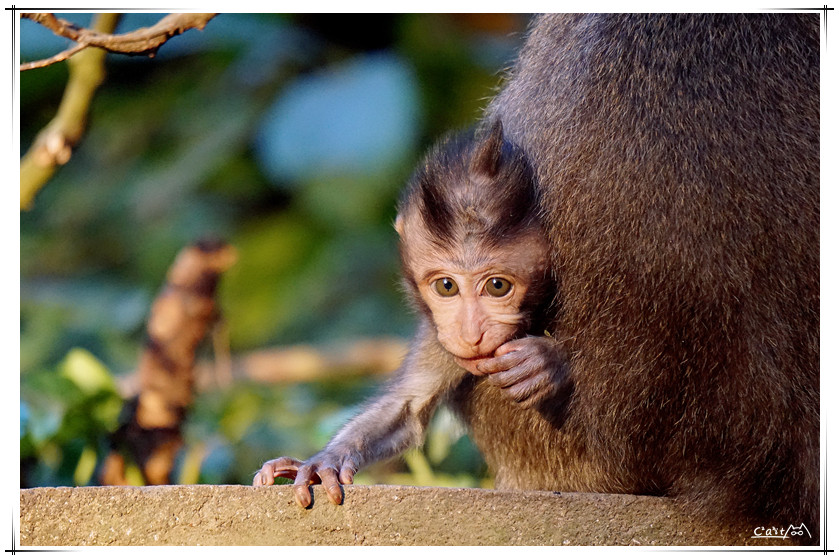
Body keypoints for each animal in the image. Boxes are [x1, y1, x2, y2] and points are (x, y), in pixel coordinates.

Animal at [253, 120, 568, 506]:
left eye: (497, 286)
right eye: (446, 286)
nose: (471, 334)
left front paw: (545, 361)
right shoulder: (439, 336)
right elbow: (405, 407)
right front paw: (323, 463)